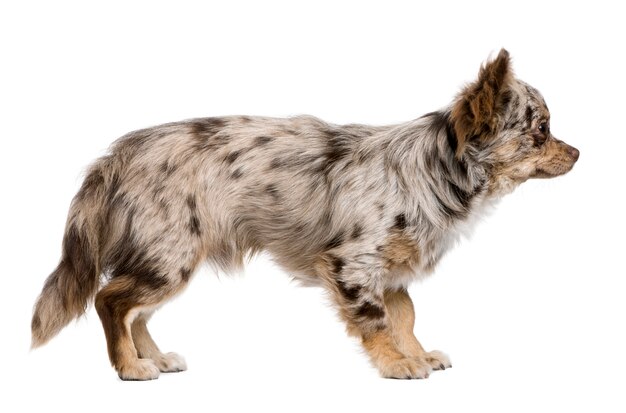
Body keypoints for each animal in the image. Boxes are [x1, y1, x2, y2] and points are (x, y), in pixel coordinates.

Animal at [29, 50, 576, 378]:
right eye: (542, 131)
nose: (577, 153)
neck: (435, 169)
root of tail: (117, 156)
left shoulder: (391, 273)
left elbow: (405, 317)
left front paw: (416, 353)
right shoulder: (352, 265)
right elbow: (378, 321)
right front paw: (396, 365)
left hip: (167, 259)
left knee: (134, 310)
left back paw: (155, 357)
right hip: (170, 258)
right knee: (110, 301)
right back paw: (130, 366)